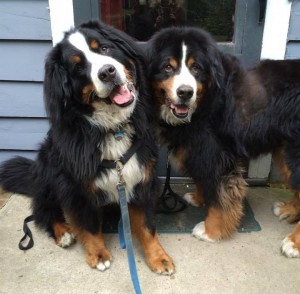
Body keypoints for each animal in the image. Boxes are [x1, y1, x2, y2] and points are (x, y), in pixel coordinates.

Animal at [0, 20, 173, 274]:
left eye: (104, 48)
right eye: (78, 68)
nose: (107, 72)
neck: (112, 127)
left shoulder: (142, 176)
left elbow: (146, 225)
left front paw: (158, 257)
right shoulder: (76, 187)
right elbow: (89, 225)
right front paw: (98, 255)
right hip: (49, 170)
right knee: (44, 210)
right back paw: (63, 232)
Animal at [147, 27, 300, 258]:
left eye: (196, 68)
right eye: (167, 67)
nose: (185, 92)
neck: (205, 102)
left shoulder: (219, 155)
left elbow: (221, 197)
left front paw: (211, 230)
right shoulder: (199, 149)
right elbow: (203, 179)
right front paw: (199, 198)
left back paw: (293, 242)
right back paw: (288, 210)